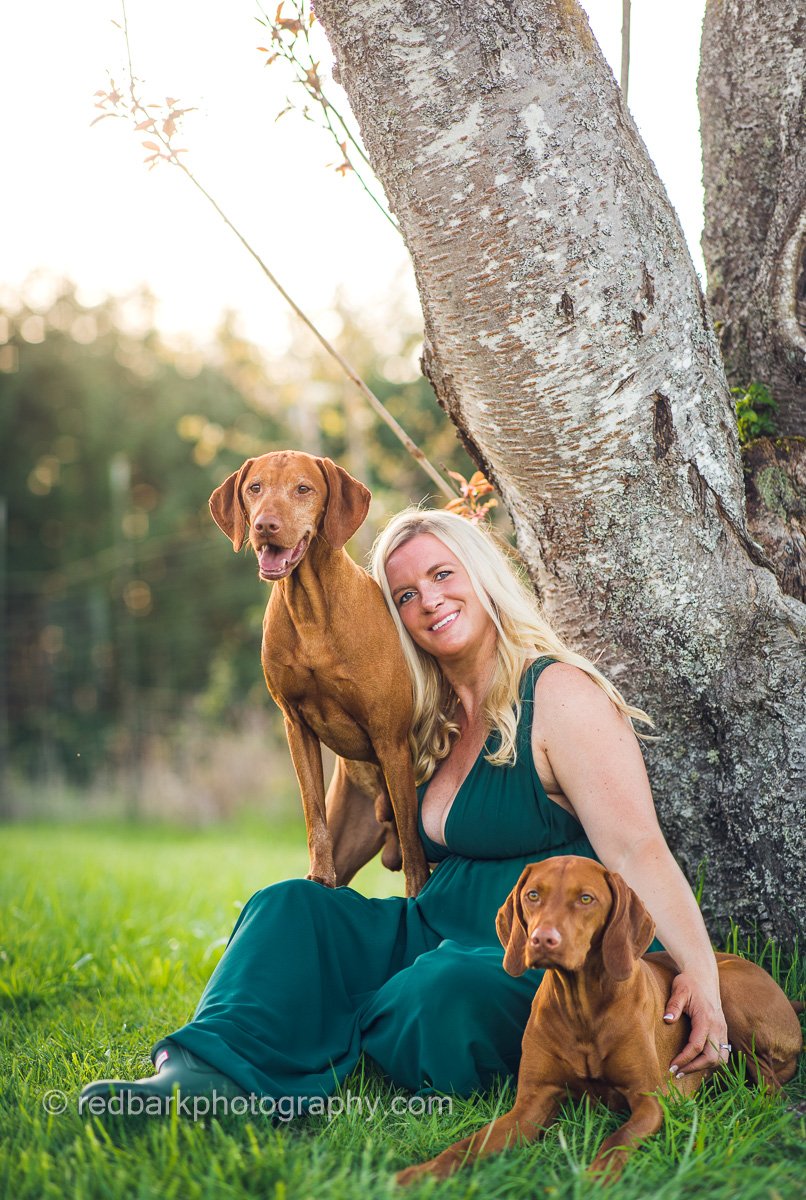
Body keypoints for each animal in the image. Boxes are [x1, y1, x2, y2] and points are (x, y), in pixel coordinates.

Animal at [211, 451, 431, 902]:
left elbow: (414, 845)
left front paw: (417, 896)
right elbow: (314, 817)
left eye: (303, 488)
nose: (264, 525)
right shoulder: (296, 726)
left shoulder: (391, 738)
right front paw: (318, 877)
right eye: (254, 488)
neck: (311, 609)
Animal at [395, 859, 801, 1185]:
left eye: (586, 899)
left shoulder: (649, 1101)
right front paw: (420, 1173)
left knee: (769, 1080)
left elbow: (617, 1140)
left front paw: (595, 1180)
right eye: (533, 895)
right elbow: (470, 1144)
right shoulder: (532, 1103)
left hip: (727, 994)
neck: (582, 1007)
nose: (542, 939)